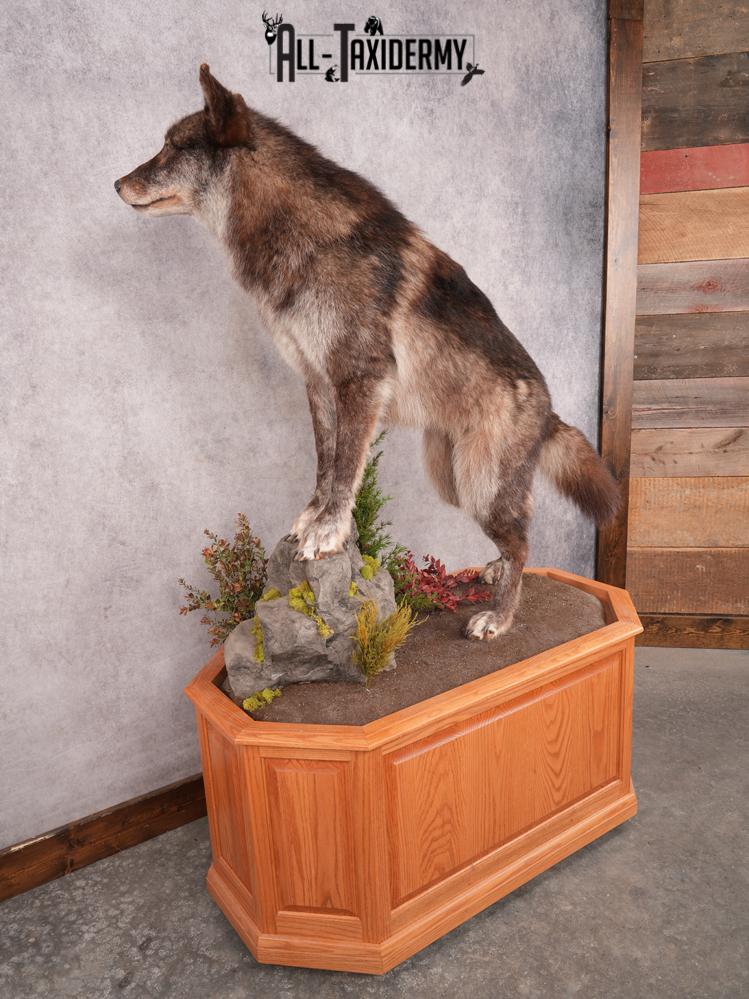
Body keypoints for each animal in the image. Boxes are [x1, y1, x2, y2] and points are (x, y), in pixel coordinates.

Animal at [115, 65, 618, 640]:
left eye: (172, 148)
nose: (116, 183)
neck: (302, 237)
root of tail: (549, 408)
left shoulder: (360, 380)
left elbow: (346, 468)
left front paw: (328, 531)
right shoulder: (317, 381)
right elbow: (327, 462)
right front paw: (312, 519)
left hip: (478, 484)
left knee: (524, 540)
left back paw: (499, 617)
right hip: (450, 479)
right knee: (515, 537)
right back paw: (492, 570)